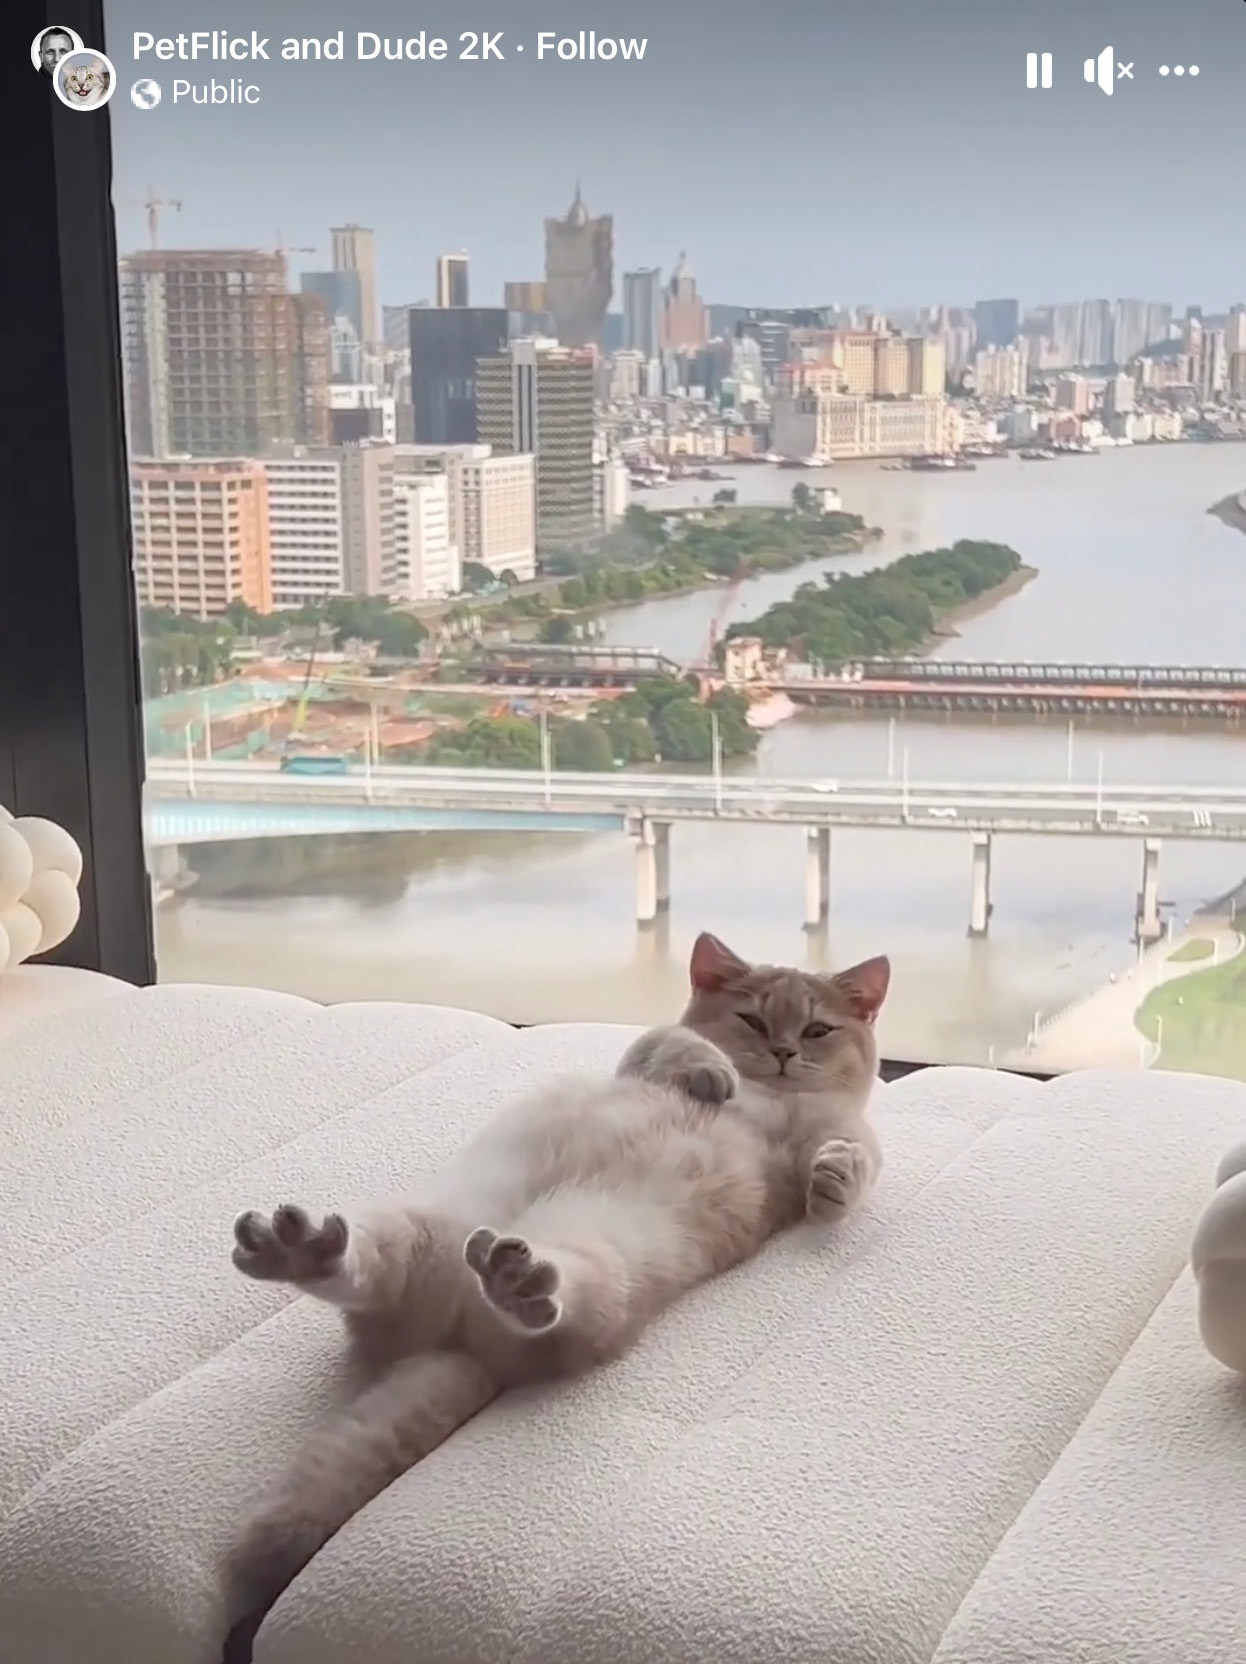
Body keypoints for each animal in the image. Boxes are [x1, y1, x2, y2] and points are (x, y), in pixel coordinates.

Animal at [221, 931, 885, 1657]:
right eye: (754, 1021)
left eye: (817, 1030)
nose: (785, 1053)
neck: (769, 1093)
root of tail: (468, 1339)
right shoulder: (640, 1057)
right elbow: (668, 1039)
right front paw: (710, 1069)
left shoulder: (827, 1139)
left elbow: (855, 1154)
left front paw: (834, 1182)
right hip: (420, 1229)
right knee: (361, 1267)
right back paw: (305, 1250)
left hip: (597, 1266)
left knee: (549, 1299)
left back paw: (513, 1279)